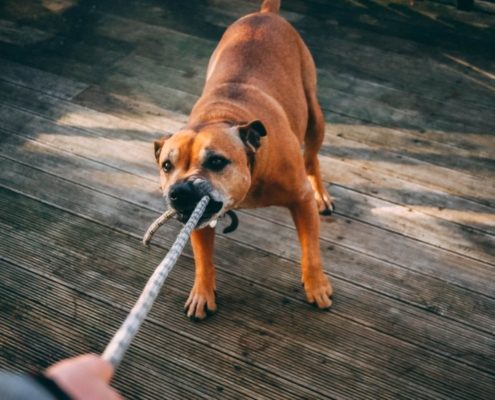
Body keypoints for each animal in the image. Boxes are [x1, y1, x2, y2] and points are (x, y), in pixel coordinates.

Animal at [153, 0, 336, 318]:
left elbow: (310, 249)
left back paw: (321, 195)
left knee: (312, 156)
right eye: (167, 166)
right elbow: (203, 258)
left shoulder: (301, 200)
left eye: (216, 162)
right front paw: (202, 292)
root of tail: (264, 15)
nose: (179, 192)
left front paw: (316, 285)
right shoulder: (200, 220)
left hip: (315, 115)